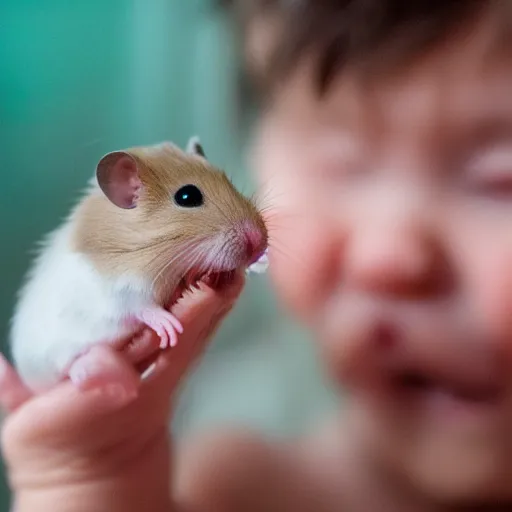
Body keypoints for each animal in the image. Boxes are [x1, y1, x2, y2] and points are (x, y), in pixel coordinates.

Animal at [8, 136, 268, 392]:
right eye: (187, 197)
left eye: (227, 180)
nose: (259, 243)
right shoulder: (119, 290)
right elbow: (141, 306)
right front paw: (169, 327)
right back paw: (87, 370)